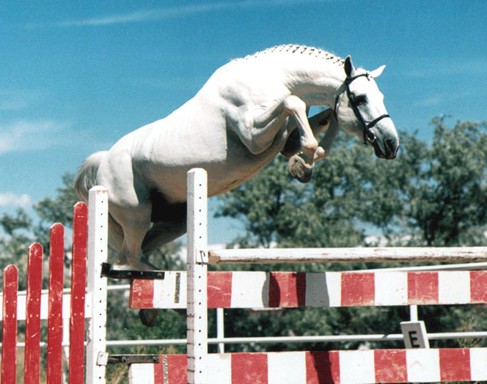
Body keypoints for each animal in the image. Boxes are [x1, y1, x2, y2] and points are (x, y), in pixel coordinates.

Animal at [75, 44, 396, 270]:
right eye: (360, 99)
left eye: (381, 97)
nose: (391, 144)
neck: (275, 78)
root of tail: (102, 161)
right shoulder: (254, 136)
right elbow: (293, 103)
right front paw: (306, 160)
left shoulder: (285, 139)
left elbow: (327, 119)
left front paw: (302, 166)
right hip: (135, 214)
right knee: (132, 257)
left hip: (173, 221)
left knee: (139, 253)